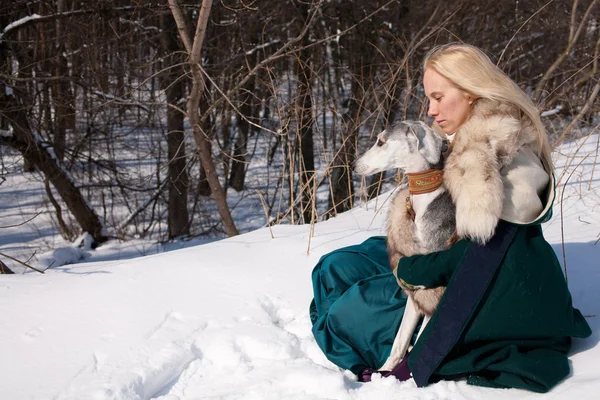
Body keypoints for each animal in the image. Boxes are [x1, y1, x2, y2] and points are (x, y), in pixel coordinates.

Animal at [354, 121, 458, 372]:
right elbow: (400, 341)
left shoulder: (435, 292)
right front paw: (384, 372)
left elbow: (422, 338)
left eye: (381, 141)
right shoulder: (415, 293)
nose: (354, 165)